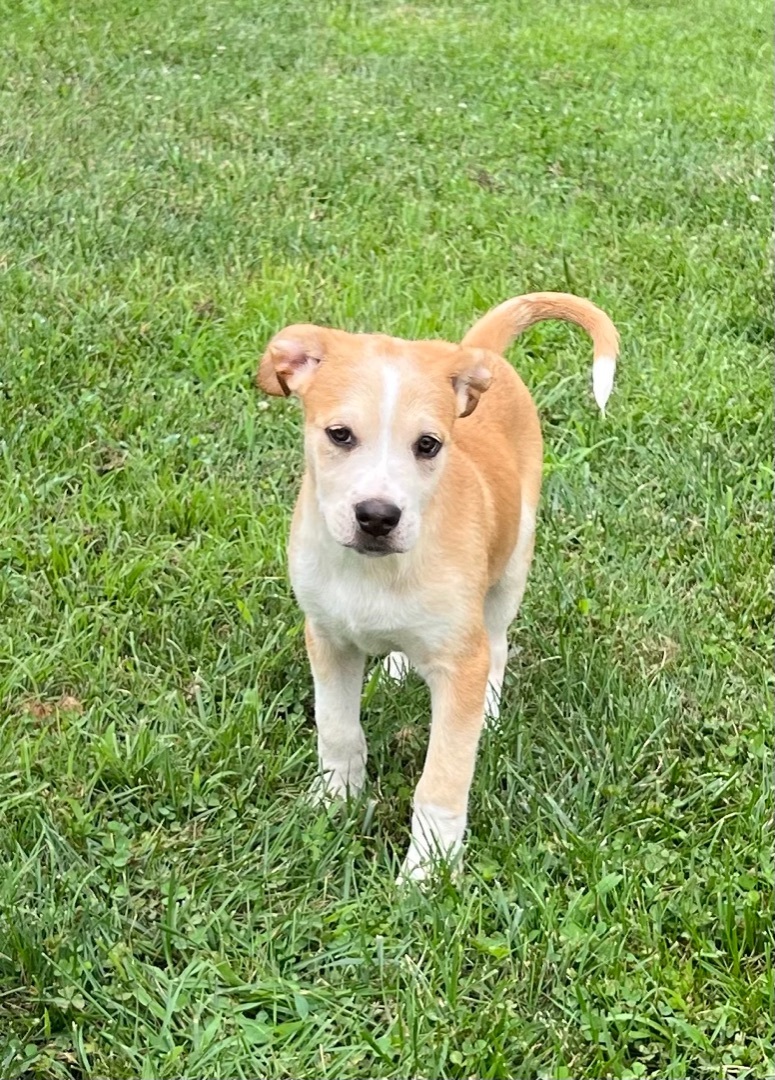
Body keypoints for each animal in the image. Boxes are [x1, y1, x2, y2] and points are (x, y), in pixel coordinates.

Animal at [257, 293, 621, 876]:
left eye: (428, 445)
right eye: (340, 435)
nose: (377, 517)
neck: (377, 572)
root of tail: (476, 356)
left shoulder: (459, 664)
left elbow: (442, 781)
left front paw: (428, 870)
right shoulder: (327, 638)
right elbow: (337, 729)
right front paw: (334, 800)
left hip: (511, 567)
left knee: (497, 645)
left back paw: (487, 714)